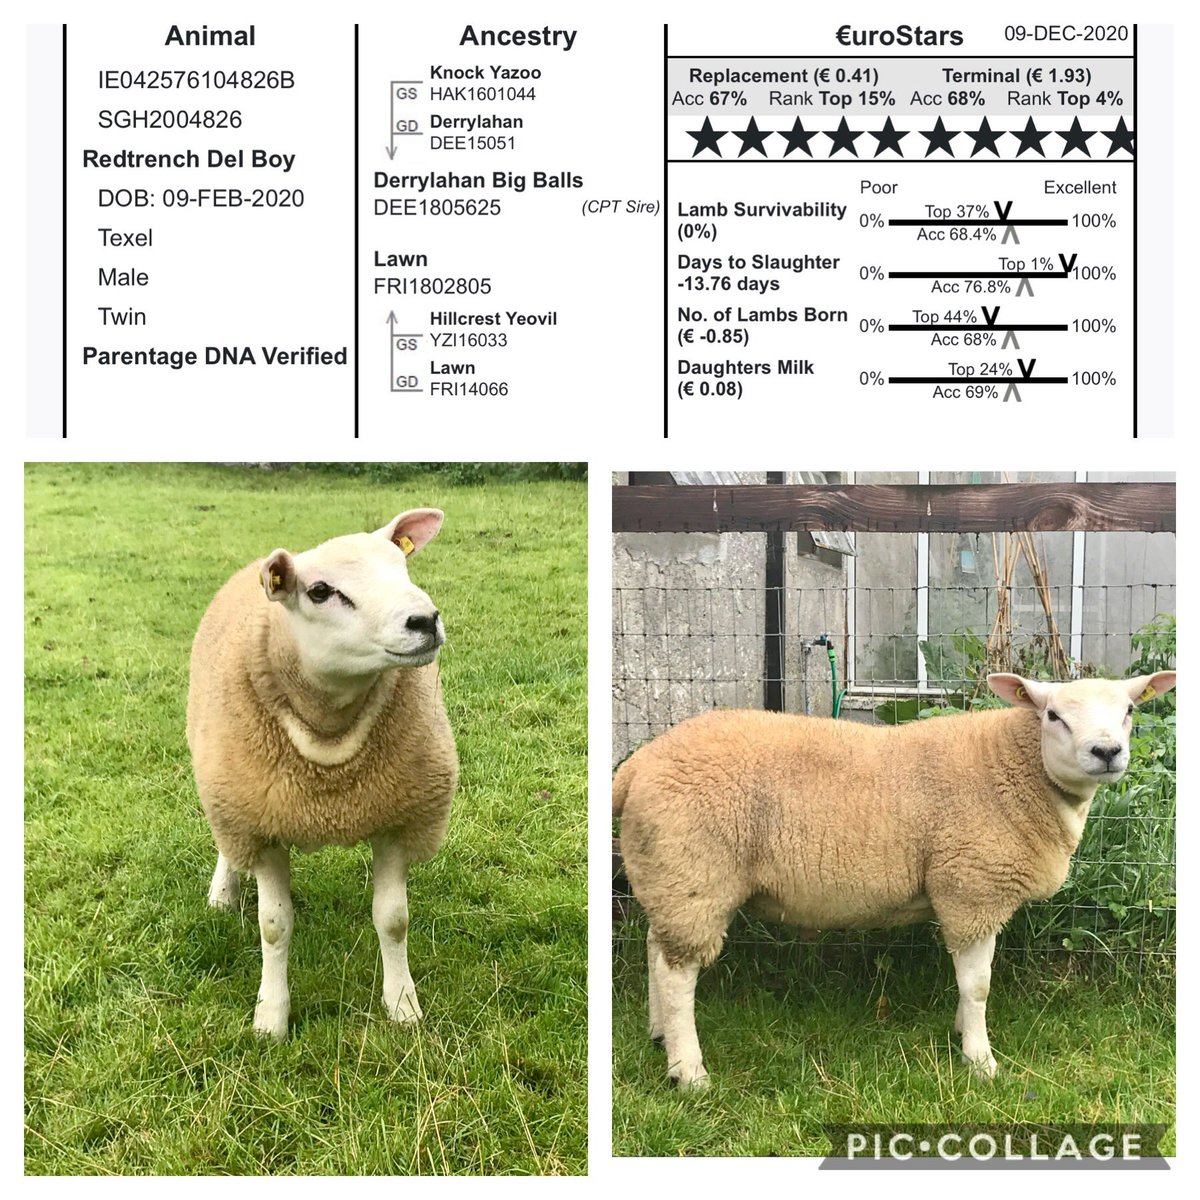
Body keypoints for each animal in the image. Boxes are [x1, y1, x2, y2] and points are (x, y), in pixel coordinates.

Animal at [186, 508, 457, 1040]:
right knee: (228, 843)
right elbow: (274, 927)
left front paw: (402, 1005)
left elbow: (393, 920)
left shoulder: (397, 816)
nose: (424, 621)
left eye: (402, 566)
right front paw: (271, 1018)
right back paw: (222, 894)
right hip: (227, 786)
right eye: (319, 591)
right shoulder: (262, 821)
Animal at [613, 672, 1176, 1089]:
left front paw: (961, 1034)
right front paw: (980, 1060)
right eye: (1054, 715)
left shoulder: (973, 895)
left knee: (655, 949)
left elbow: (969, 985)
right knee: (677, 974)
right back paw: (688, 1072)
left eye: (1129, 711)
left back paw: (659, 1035)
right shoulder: (972, 888)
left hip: (669, 875)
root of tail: (639, 764)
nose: (1106, 752)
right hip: (696, 872)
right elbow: (978, 986)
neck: (1017, 769)